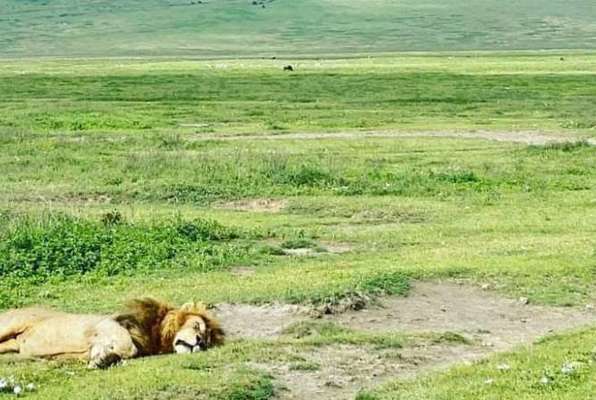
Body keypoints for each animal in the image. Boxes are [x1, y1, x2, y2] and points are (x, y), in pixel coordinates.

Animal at [0, 296, 225, 368]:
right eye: (196, 327)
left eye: (206, 341)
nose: (199, 342)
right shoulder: (106, 323)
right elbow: (129, 346)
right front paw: (100, 357)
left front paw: (104, 357)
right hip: (9, 325)